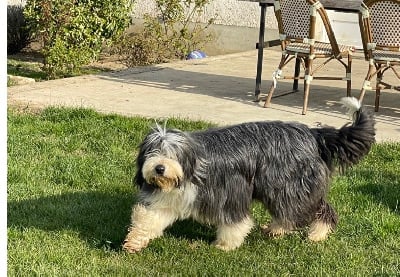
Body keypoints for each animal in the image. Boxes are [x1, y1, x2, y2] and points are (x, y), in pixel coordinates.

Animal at [122, 97, 376, 252]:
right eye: (153, 151)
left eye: (172, 153)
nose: (159, 168)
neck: (192, 167)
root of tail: (313, 134)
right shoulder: (167, 199)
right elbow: (149, 218)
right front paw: (134, 242)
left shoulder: (228, 193)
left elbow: (235, 221)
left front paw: (226, 245)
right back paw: (278, 230)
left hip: (290, 186)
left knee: (316, 208)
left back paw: (317, 234)